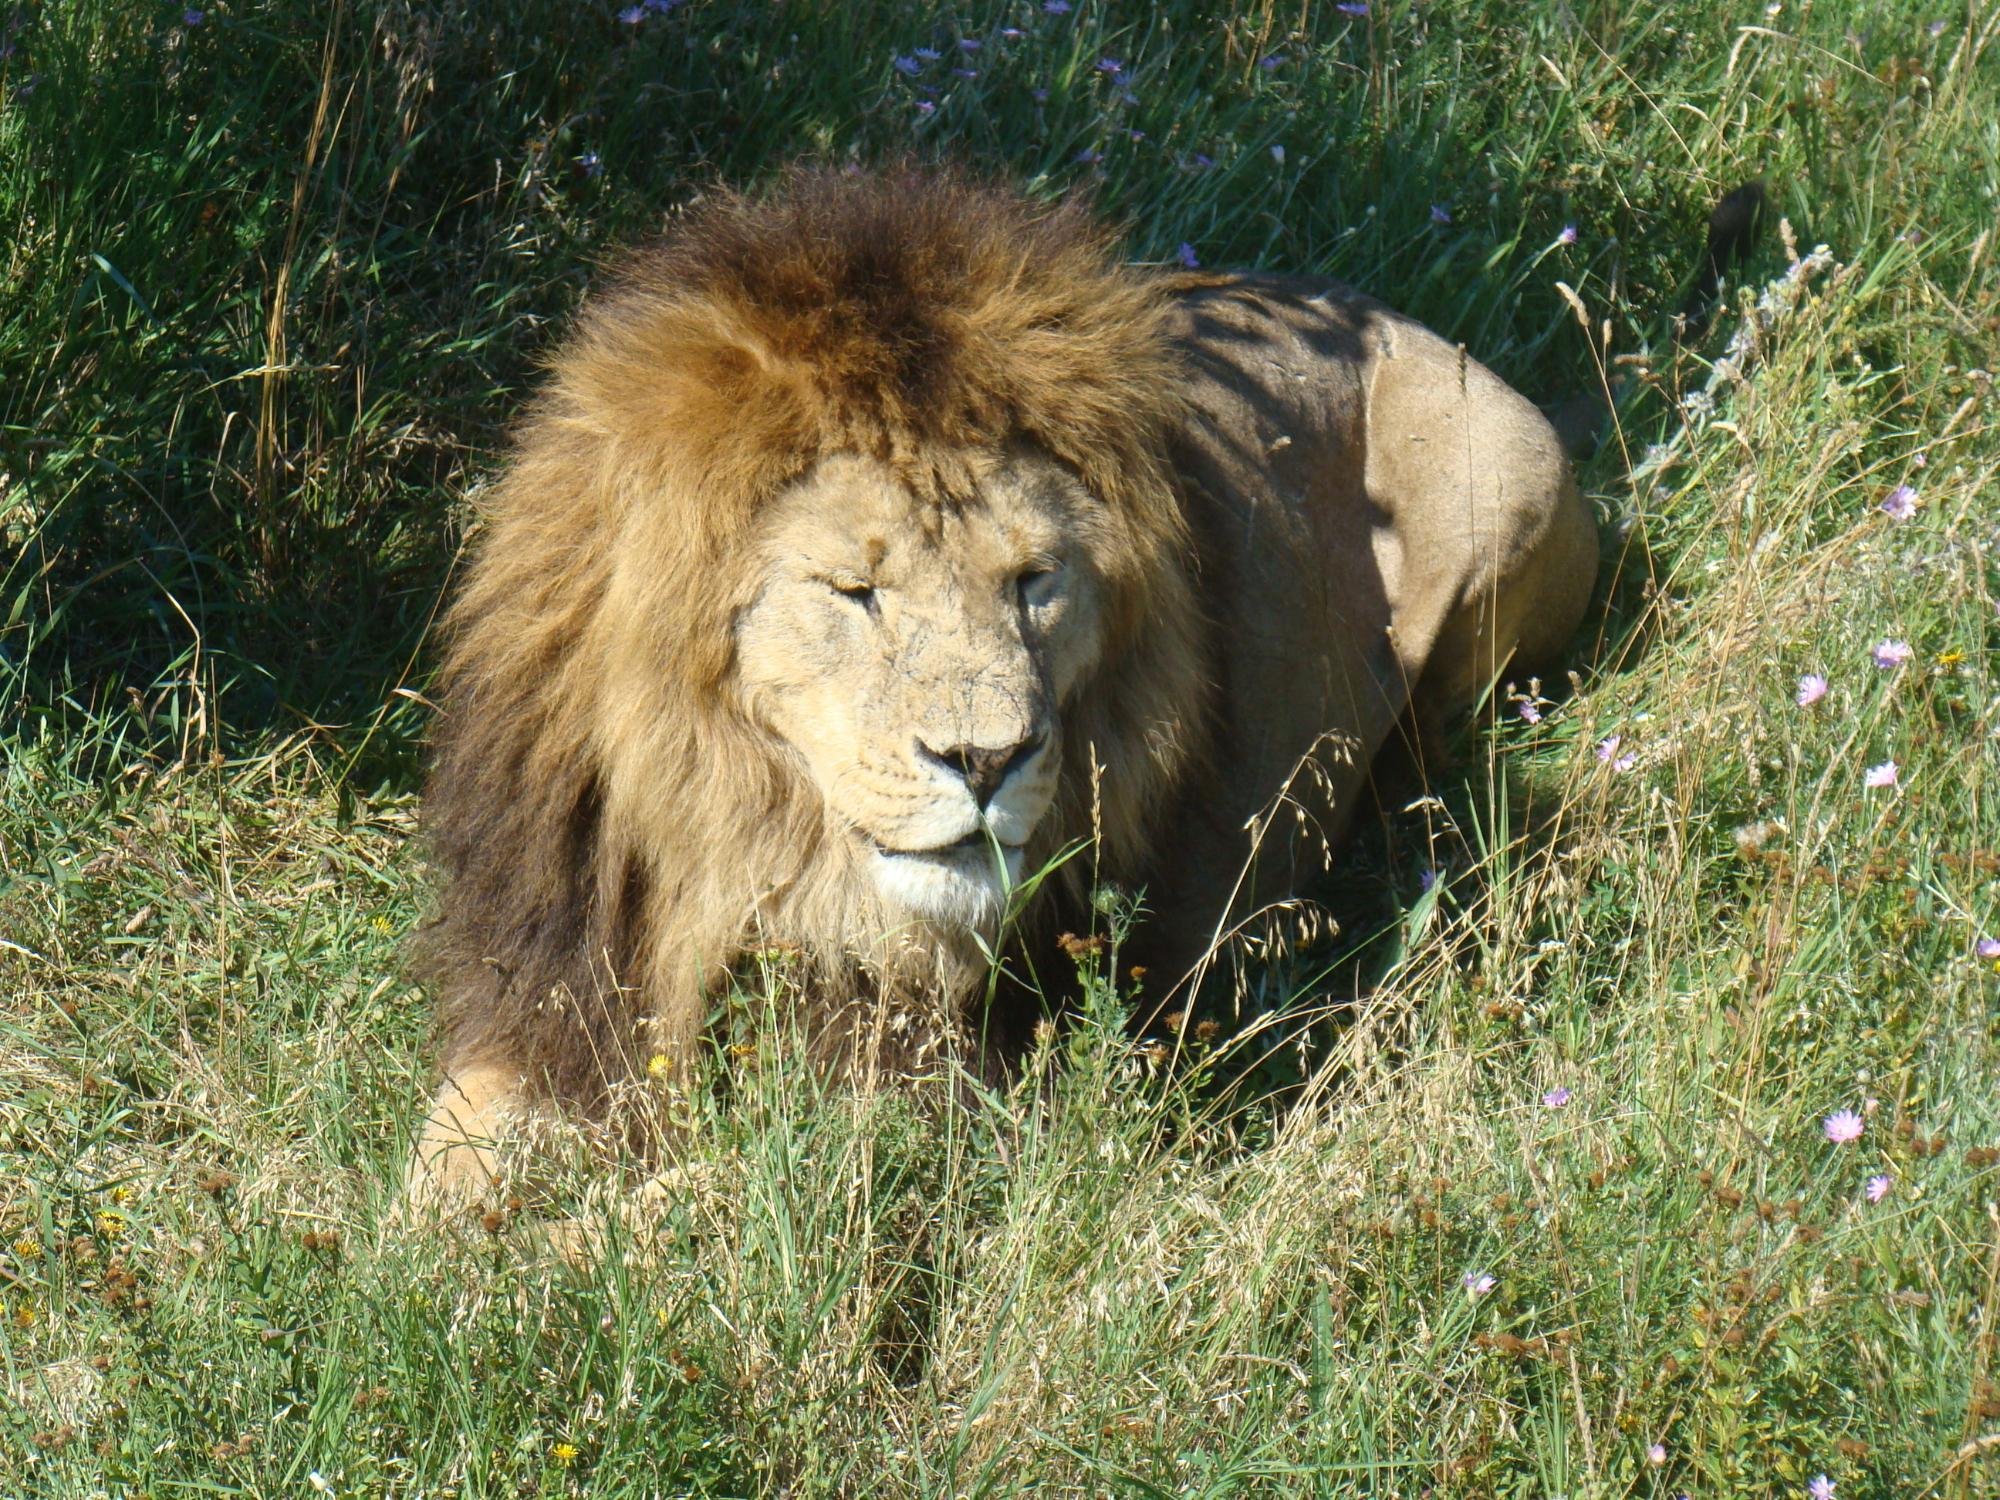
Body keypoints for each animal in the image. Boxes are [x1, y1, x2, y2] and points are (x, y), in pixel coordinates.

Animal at [406, 164, 1592, 1208]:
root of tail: (1391, 312)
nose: (986, 760)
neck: (749, 840)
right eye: (855, 591)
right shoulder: (557, 991)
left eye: (1033, 581)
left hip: (1501, 506)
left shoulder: (929, 1100)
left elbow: (692, 1209)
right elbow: (435, 1178)